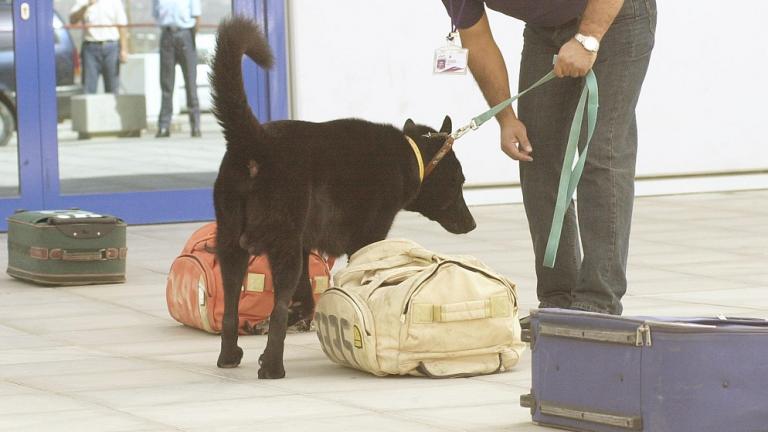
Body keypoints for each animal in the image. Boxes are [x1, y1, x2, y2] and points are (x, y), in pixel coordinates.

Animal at [210, 18, 474, 380]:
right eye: (460, 181)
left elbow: (304, 298)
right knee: (277, 308)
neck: (410, 153)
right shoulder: (366, 240)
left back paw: (230, 354)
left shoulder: (306, 246)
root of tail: (255, 142)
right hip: (283, 249)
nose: (472, 223)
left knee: (231, 308)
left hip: (231, 246)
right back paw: (273, 366)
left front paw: (301, 316)